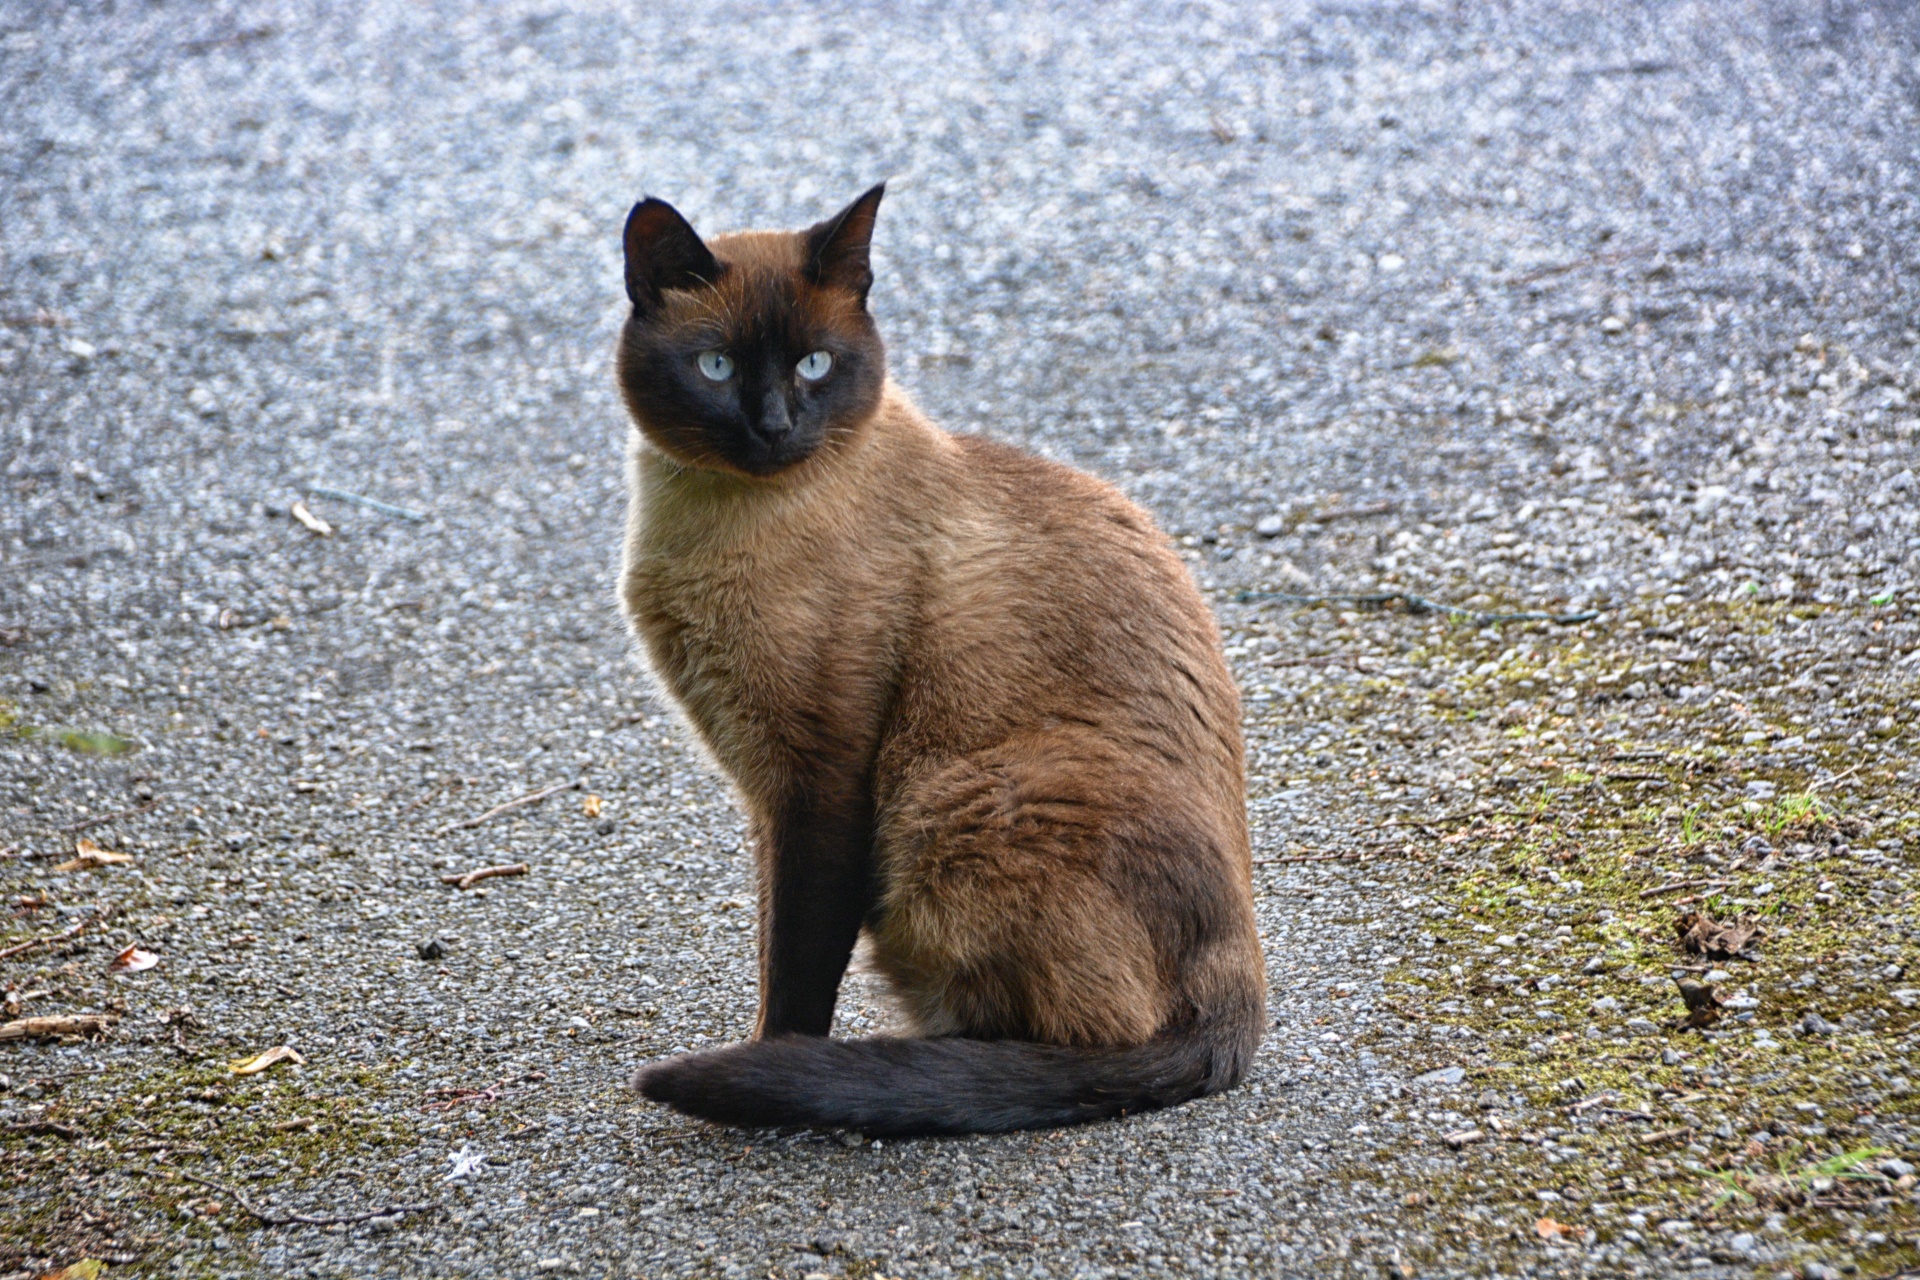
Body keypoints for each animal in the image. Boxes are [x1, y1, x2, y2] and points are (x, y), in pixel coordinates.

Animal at [622, 185, 1267, 1136]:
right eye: (715, 367)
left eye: (814, 365)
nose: (774, 426)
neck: (714, 519)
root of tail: (1244, 1008)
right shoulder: (767, 794)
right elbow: (777, 947)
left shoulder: (817, 782)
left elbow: (797, 972)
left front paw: (771, 1070)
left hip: (948, 806)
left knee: (1095, 1041)